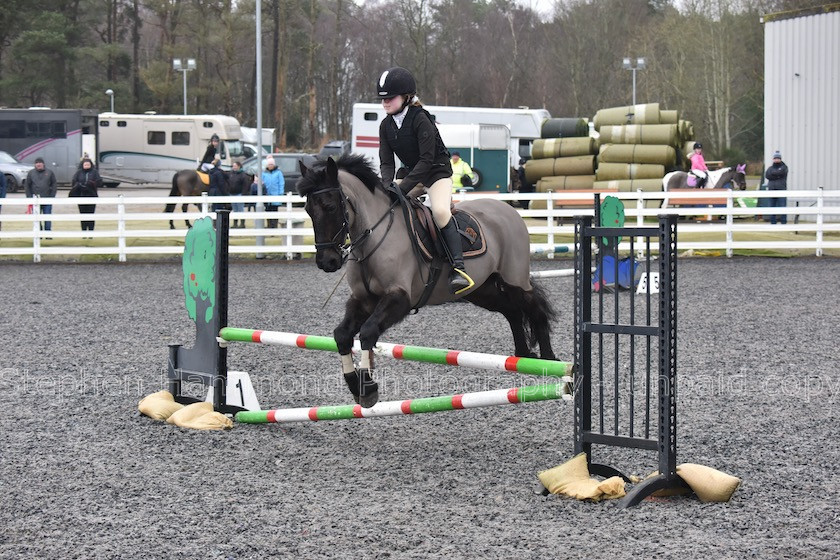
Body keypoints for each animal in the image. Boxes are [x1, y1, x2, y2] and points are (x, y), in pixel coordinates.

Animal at [296, 153, 556, 406]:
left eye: (330, 206)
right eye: (308, 209)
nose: (327, 262)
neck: (374, 238)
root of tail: (510, 211)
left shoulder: (400, 298)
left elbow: (368, 333)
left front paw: (368, 387)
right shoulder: (363, 300)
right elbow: (341, 335)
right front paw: (356, 385)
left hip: (514, 281)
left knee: (535, 309)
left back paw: (549, 360)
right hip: (483, 290)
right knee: (512, 311)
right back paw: (522, 354)